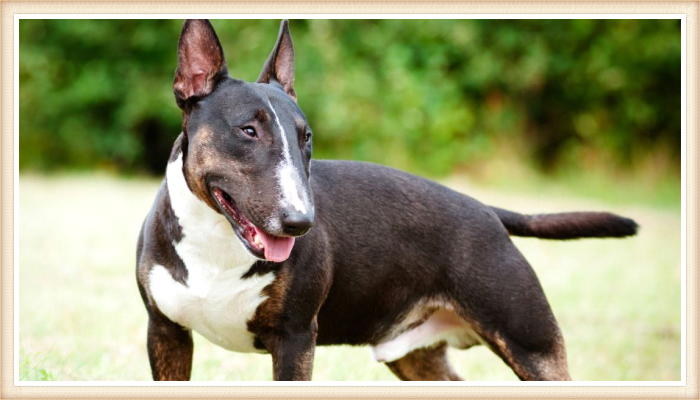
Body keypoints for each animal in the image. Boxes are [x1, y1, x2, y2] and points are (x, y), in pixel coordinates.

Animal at [134, 19, 636, 382]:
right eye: (248, 130)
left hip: (531, 344)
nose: (301, 223)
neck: (215, 242)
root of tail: (487, 211)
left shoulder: (295, 339)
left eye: (306, 137)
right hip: (416, 357)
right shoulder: (165, 333)